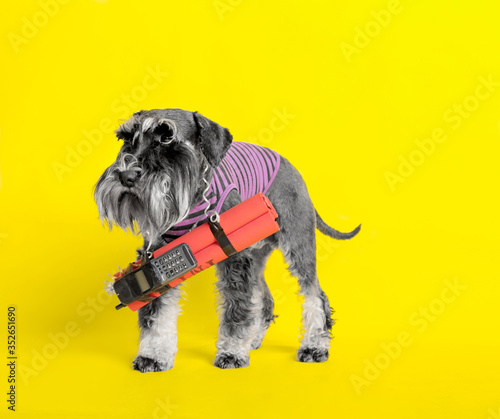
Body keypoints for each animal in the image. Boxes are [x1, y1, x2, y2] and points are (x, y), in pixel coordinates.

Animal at [94, 109, 360, 374]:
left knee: (314, 295)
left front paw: (232, 352)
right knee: (264, 300)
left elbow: (236, 309)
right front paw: (152, 355)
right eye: (126, 139)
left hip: (297, 246)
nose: (126, 175)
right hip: (256, 256)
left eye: (167, 137)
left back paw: (314, 346)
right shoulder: (157, 259)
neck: (193, 199)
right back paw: (254, 339)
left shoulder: (234, 260)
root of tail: (290, 166)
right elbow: (157, 311)